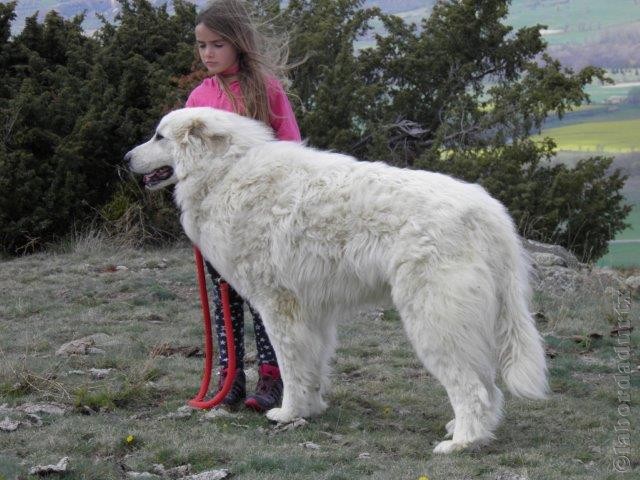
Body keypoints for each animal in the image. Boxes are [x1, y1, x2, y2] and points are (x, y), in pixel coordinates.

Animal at [126, 106, 552, 454]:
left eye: (159, 136)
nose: (125, 158)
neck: (225, 170)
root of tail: (488, 212)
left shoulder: (278, 306)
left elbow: (290, 364)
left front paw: (287, 412)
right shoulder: (312, 312)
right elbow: (312, 365)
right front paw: (310, 409)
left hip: (436, 320)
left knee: (473, 388)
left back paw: (463, 442)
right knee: (487, 386)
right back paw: (471, 431)